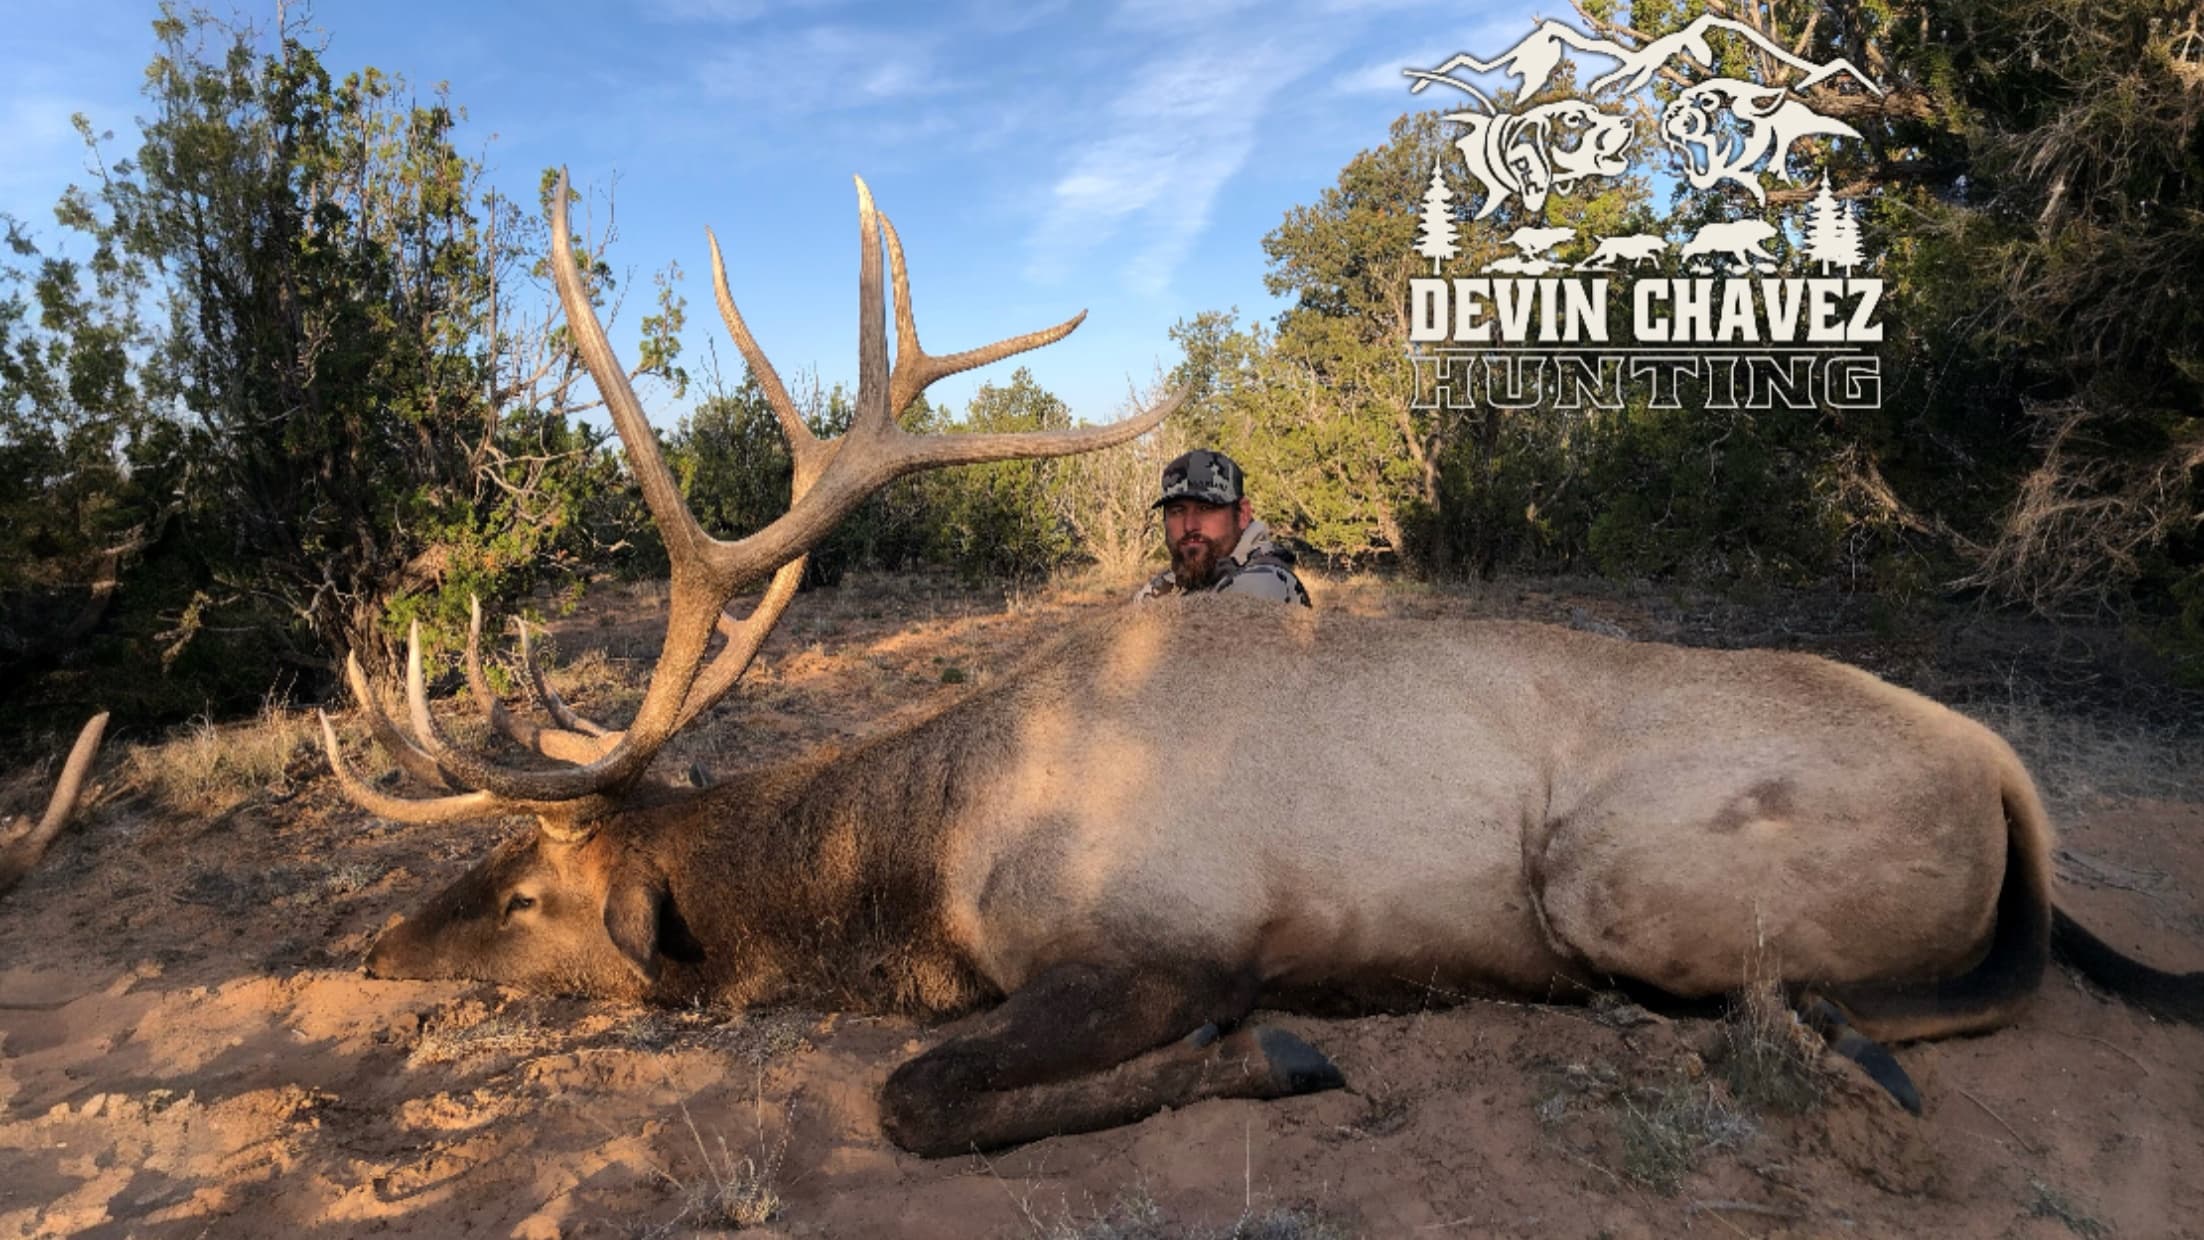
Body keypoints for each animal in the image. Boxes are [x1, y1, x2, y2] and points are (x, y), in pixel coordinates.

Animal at [325, 172, 2203, 1158]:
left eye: (523, 894)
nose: (367, 949)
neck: (918, 870)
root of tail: (2007, 778)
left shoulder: (1157, 940)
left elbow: (917, 1094)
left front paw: (1272, 1053)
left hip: (1621, 875)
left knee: (1894, 987)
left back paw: (1827, 1037)